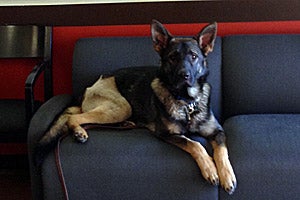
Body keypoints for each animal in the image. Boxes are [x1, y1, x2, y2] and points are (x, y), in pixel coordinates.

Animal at [38, 19, 237, 194]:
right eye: (173, 58)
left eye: (194, 57)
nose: (184, 75)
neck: (186, 102)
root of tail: (89, 88)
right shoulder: (166, 134)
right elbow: (195, 144)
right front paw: (210, 168)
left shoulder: (218, 132)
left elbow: (222, 151)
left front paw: (227, 176)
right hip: (121, 107)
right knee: (75, 117)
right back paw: (79, 131)